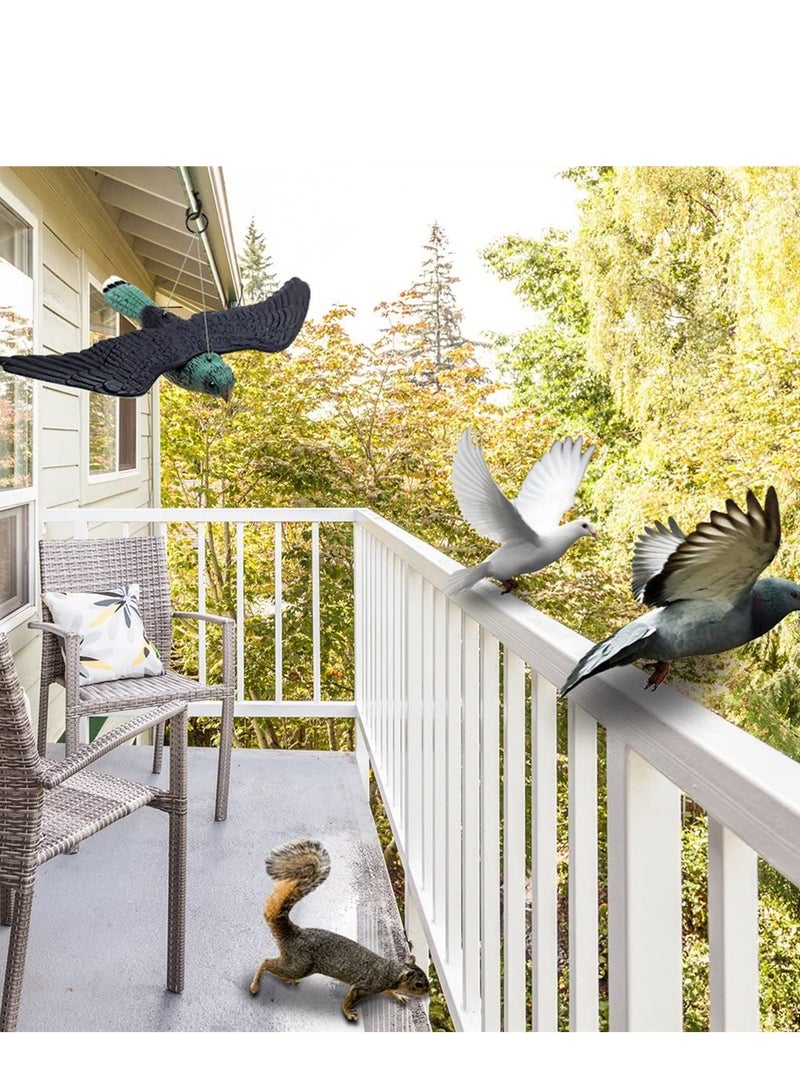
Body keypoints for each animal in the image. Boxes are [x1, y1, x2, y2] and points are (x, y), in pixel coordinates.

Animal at [249, 838, 430, 1023]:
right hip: (300, 965)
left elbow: (389, 991)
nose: (428, 992)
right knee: (267, 962)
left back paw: (286, 980)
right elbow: (348, 1000)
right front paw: (349, 1013)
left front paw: (398, 996)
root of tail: (294, 932)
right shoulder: (365, 987)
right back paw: (255, 985)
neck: (390, 971)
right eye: (418, 984)